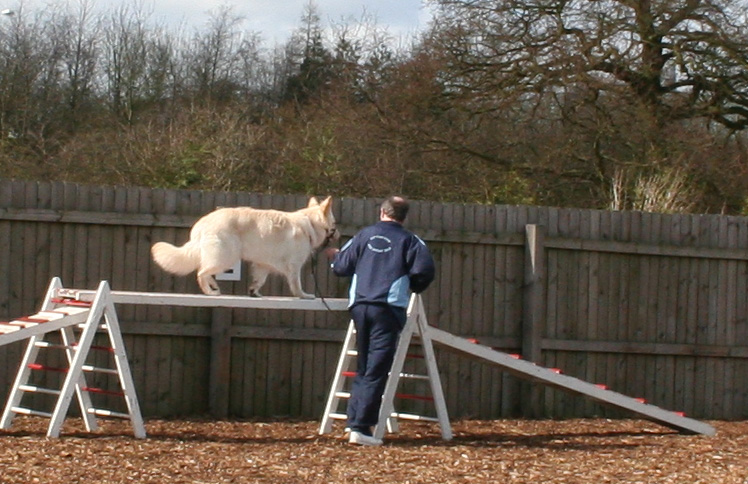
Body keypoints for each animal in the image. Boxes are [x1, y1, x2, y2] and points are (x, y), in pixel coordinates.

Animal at [152, 195, 338, 296]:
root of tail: (203, 223)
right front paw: (304, 295)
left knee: (204, 270)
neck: (310, 223)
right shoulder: (294, 266)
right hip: (226, 257)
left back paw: (214, 287)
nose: (338, 234)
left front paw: (254, 292)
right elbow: (296, 285)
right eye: (335, 223)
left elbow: (259, 280)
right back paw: (210, 291)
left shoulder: (263, 265)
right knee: (201, 272)